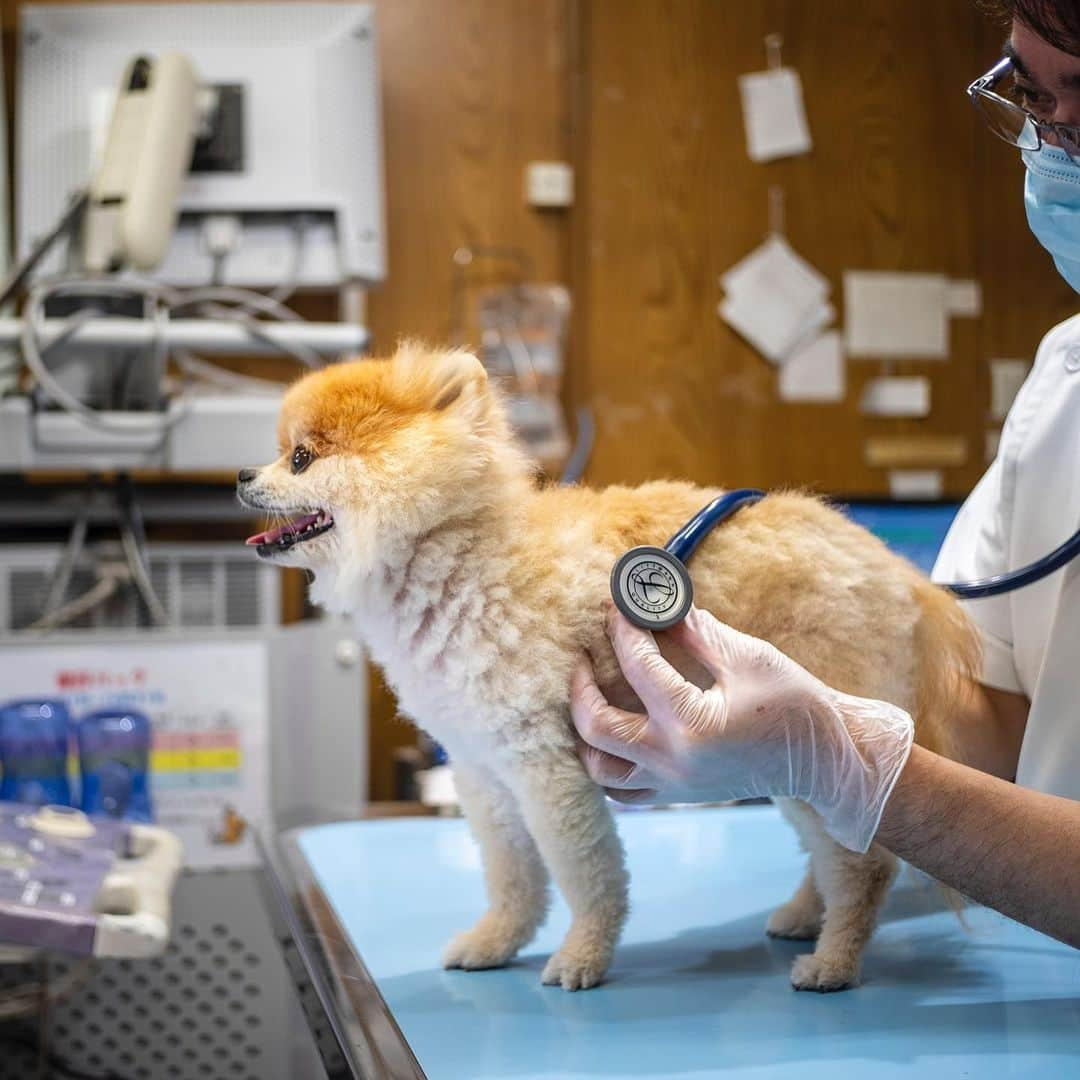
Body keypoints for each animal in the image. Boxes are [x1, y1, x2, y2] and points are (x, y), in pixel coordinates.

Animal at [236, 341, 980, 989]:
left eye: (300, 458)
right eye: (278, 452)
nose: (243, 475)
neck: (458, 561)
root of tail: (897, 571)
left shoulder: (548, 768)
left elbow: (586, 875)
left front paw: (582, 956)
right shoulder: (483, 770)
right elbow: (511, 876)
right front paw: (496, 941)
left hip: (816, 733)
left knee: (864, 865)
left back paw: (833, 960)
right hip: (788, 757)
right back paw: (804, 915)